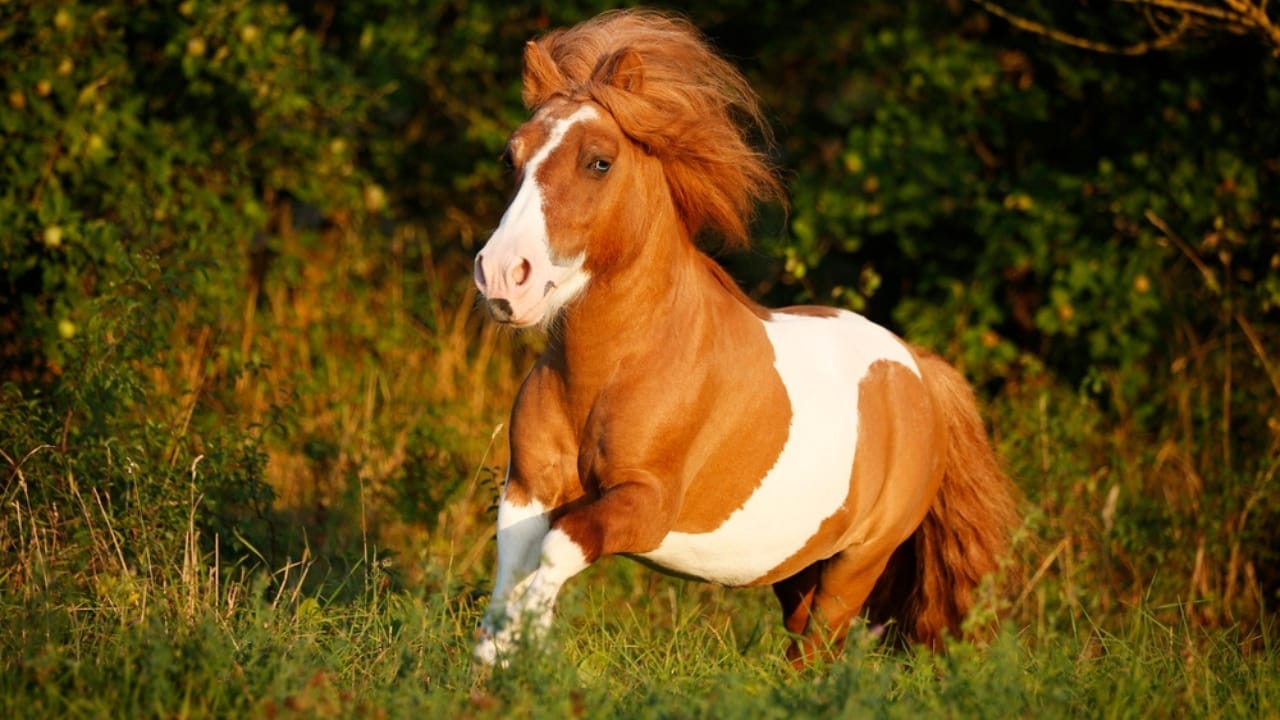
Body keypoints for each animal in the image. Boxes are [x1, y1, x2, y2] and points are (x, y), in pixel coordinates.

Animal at [470, 9, 1020, 668]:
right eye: (510, 158)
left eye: (598, 161)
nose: (504, 276)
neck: (611, 370)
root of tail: (918, 369)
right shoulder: (528, 488)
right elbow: (511, 567)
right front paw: (493, 662)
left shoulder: (647, 505)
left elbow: (557, 551)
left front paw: (529, 642)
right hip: (801, 570)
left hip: (859, 562)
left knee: (820, 651)